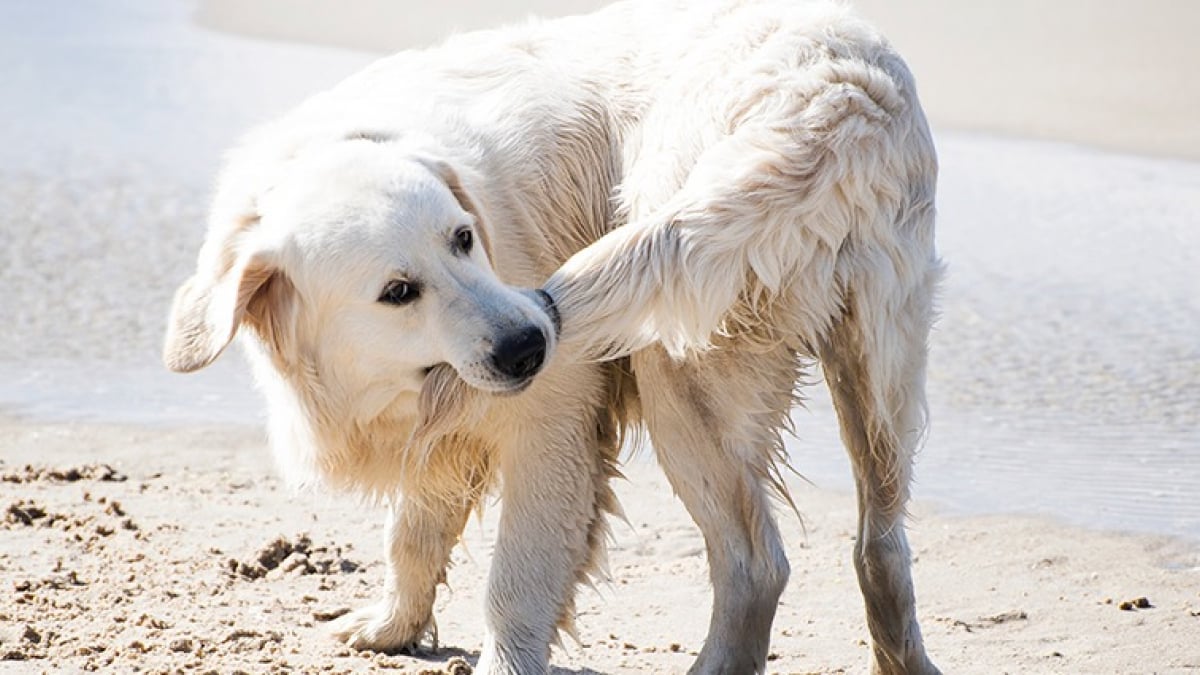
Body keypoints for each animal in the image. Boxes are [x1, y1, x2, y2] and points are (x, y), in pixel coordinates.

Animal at [164, 1, 940, 672]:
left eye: (464, 238)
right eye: (398, 291)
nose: (529, 345)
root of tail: (835, 98)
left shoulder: (553, 419)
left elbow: (517, 576)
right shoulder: (440, 425)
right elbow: (412, 533)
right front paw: (391, 626)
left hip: (679, 367)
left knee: (756, 562)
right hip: (880, 370)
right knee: (880, 546)